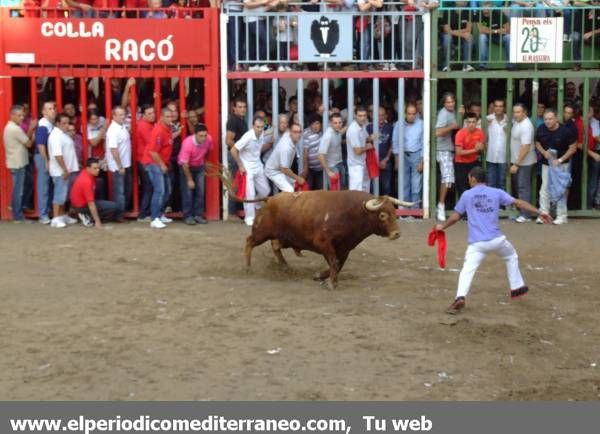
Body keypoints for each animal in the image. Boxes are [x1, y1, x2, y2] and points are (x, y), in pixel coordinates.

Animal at [246, 191, 410, 290]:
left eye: (394, 212)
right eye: (382, 215)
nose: (396, 233)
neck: (352, 213)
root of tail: (270, 198)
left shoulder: (344, 248)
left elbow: (338, 264)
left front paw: (321, 277)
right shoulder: (323, 243)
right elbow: (334, 262)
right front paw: (331, 283)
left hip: (285, 237)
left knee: (275, 245)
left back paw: (285, 266)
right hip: (261, 232)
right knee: (249, 242)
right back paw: (247, 268)